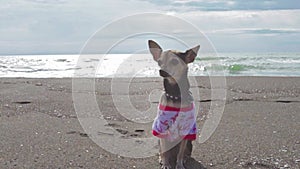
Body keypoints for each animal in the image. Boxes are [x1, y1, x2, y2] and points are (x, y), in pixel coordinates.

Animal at [149, 40, 200, 169]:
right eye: (159, 62)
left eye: (174, 61)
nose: (161, 71)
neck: (175, 94)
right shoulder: (162, 128)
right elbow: (165, 152)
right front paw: (166, 164)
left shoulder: (185, 131)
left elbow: (180, 153)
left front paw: (180, 164)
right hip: (160, 141)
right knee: (162, 150)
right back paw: (162, 159)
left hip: (189, 144)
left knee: (185, 152)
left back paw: (185, 158)